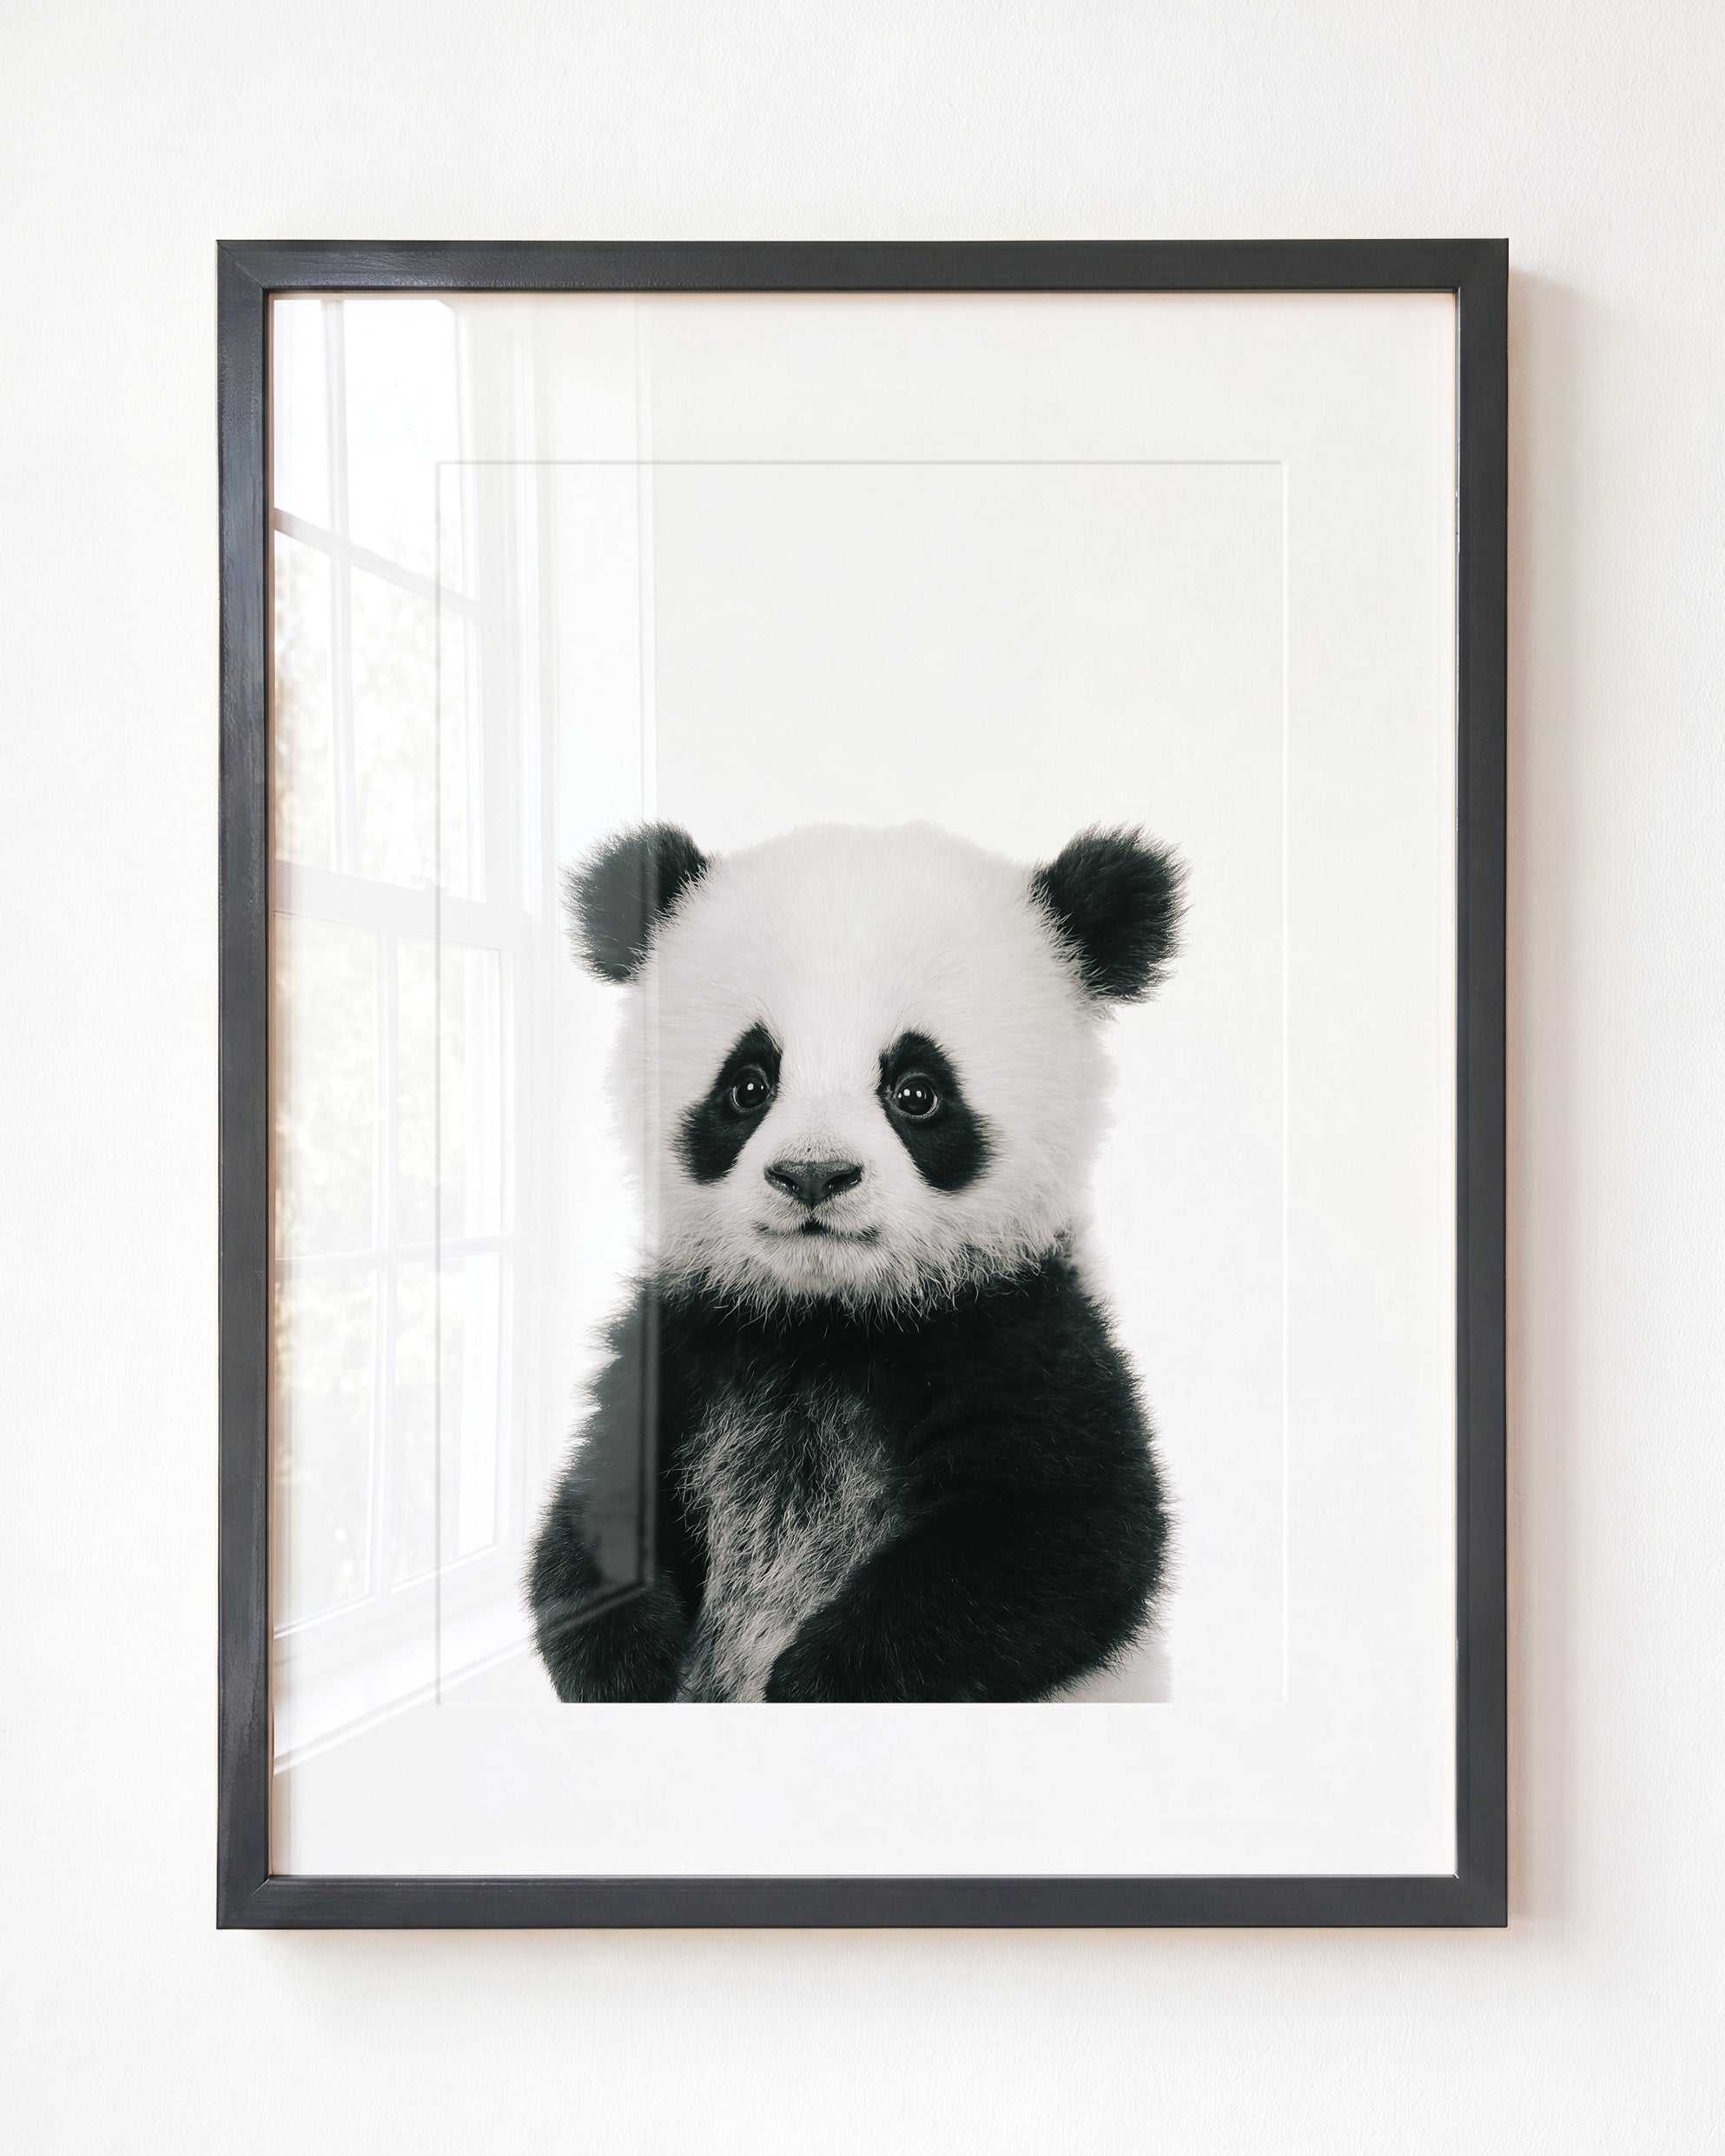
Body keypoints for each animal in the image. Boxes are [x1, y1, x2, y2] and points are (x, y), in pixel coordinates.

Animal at [528, 818, 1183, 1703]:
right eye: (748, 1085)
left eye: (917, 1091)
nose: (814, 1174)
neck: (828, 1320)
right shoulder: (687, 1337)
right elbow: (594, 1507)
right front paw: (627, 1664)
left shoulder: (1022, 1331)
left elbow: (1068, 1535)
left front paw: (815, 1682)